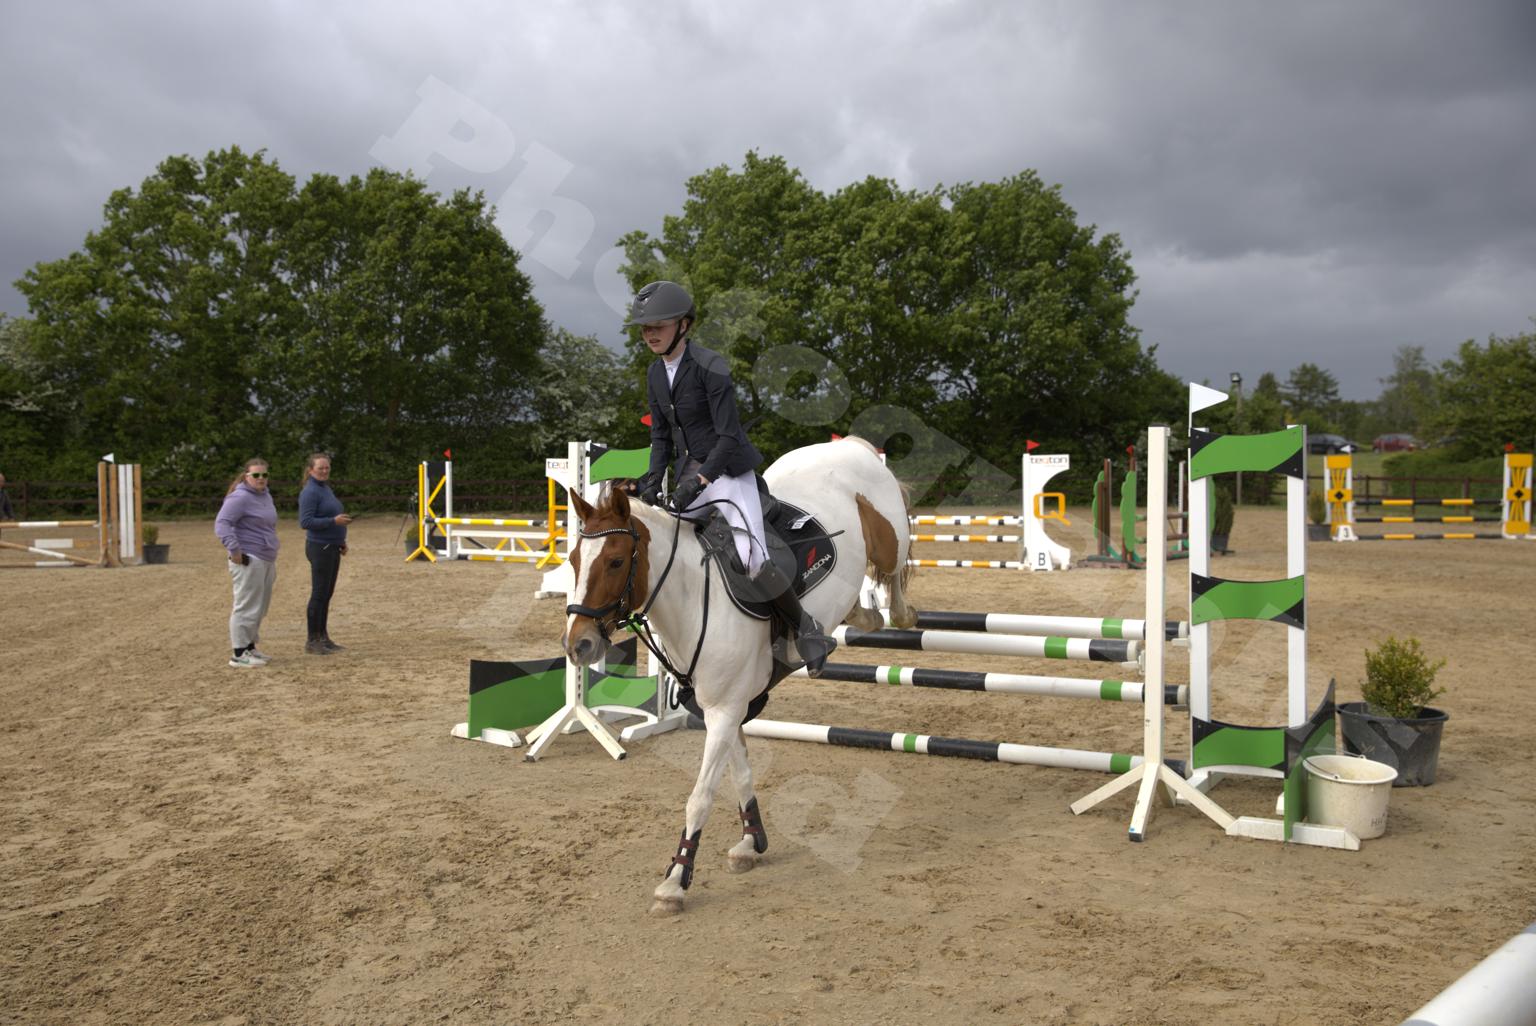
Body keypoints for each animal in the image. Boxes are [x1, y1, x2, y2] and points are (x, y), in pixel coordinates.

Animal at [562, 437, 916, 914]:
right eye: (573, 559)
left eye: (616, 561)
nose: (577, 646)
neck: (693, 595)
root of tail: (850, 446)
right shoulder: (725, 708)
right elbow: (740, 773)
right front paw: (751, 842)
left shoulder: (725, 711)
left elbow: (700, 796)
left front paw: (676, 879)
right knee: (869, 612)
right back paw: (852, 619)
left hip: (889, 535)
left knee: (894, 579)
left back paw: (896, 612)